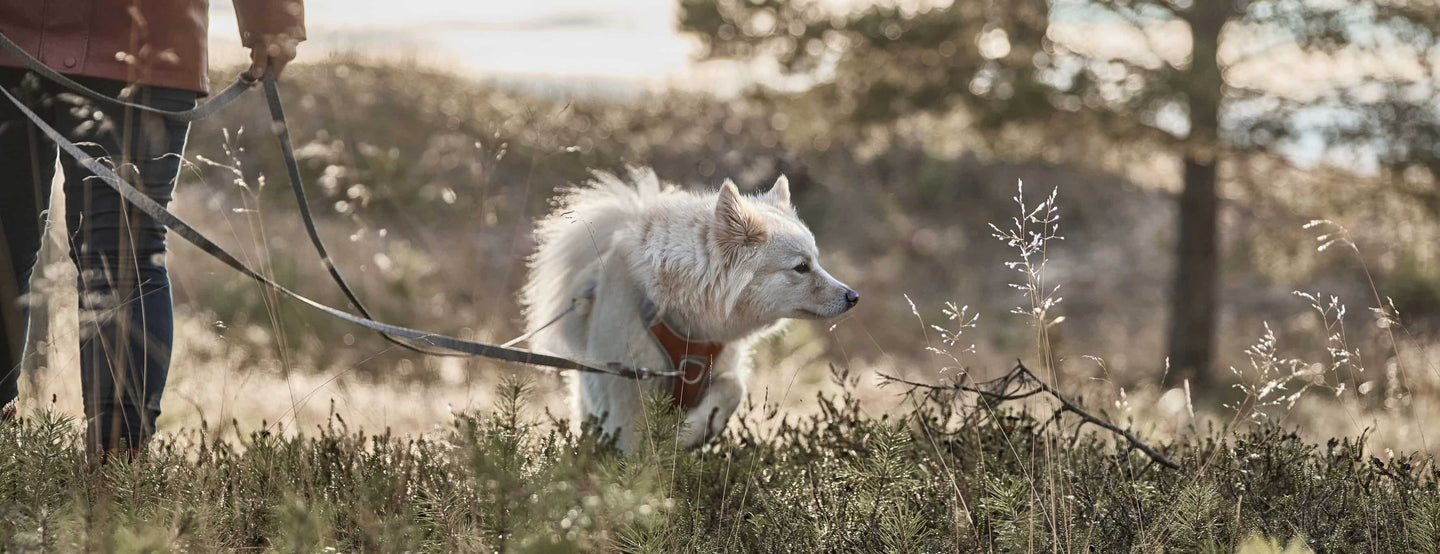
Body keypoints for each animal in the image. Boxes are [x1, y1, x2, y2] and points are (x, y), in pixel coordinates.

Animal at [521, 168, 852, 448]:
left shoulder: (720, 367)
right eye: (801, 267)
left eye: (816, 260)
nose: (853, 296)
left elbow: (733, 388)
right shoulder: (631, 389)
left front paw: (694, 430)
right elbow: (634, 448)